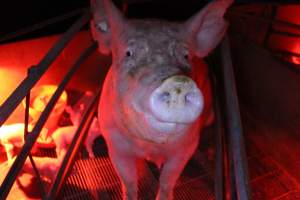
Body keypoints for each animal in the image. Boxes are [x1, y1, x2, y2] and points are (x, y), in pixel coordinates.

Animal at [90, 0, 231, 199]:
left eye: (186, 55)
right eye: (128, 53)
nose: (178, 82)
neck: (152, 146)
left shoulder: (187, 146)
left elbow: (167, 179)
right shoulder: (114, 145)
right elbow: (128, 181)